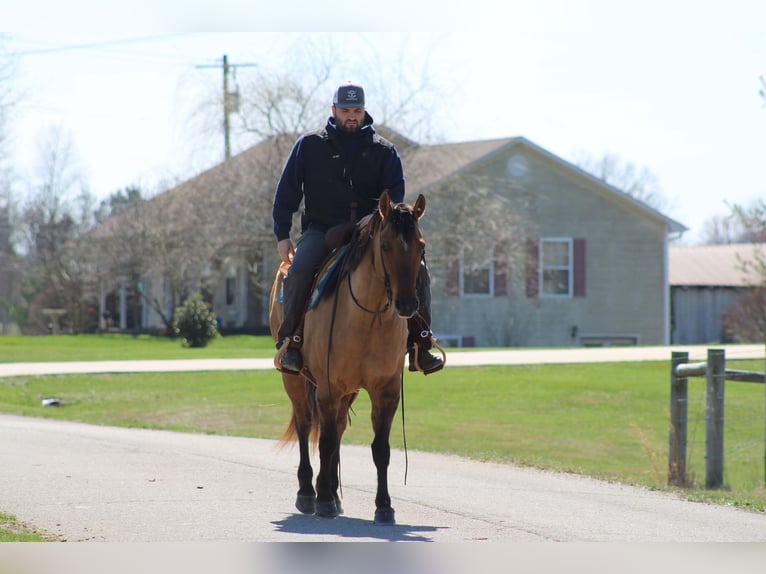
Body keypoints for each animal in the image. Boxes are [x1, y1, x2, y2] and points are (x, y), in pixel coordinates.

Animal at [268, 191, 428, 524]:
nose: (407, 304)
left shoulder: (385, 391)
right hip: (296, 383)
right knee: (306, 426)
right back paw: (309, 493)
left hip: (347, 391)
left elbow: (380, 449)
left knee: (337, 427)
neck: (368, 318)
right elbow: (325, 442)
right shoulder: (329, 387)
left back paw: (329, 490)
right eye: (385, 245)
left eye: (421, 246)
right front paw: (324, 501)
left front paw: (384, 506)